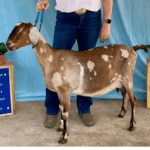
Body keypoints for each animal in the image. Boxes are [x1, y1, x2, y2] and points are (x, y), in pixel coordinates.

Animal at [6, 22, 148, 144]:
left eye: (22, 32)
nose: (7, 44)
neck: (52, 59)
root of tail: (132, 49)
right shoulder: (59, 91)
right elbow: (61, 108)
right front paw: (60, 127)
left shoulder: (65, 90)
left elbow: (65, 112)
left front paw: (64, 137)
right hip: (120, 81)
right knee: (124, 94)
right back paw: (122, 113)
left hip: (128, 78)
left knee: (133, 99)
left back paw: (132, 125)